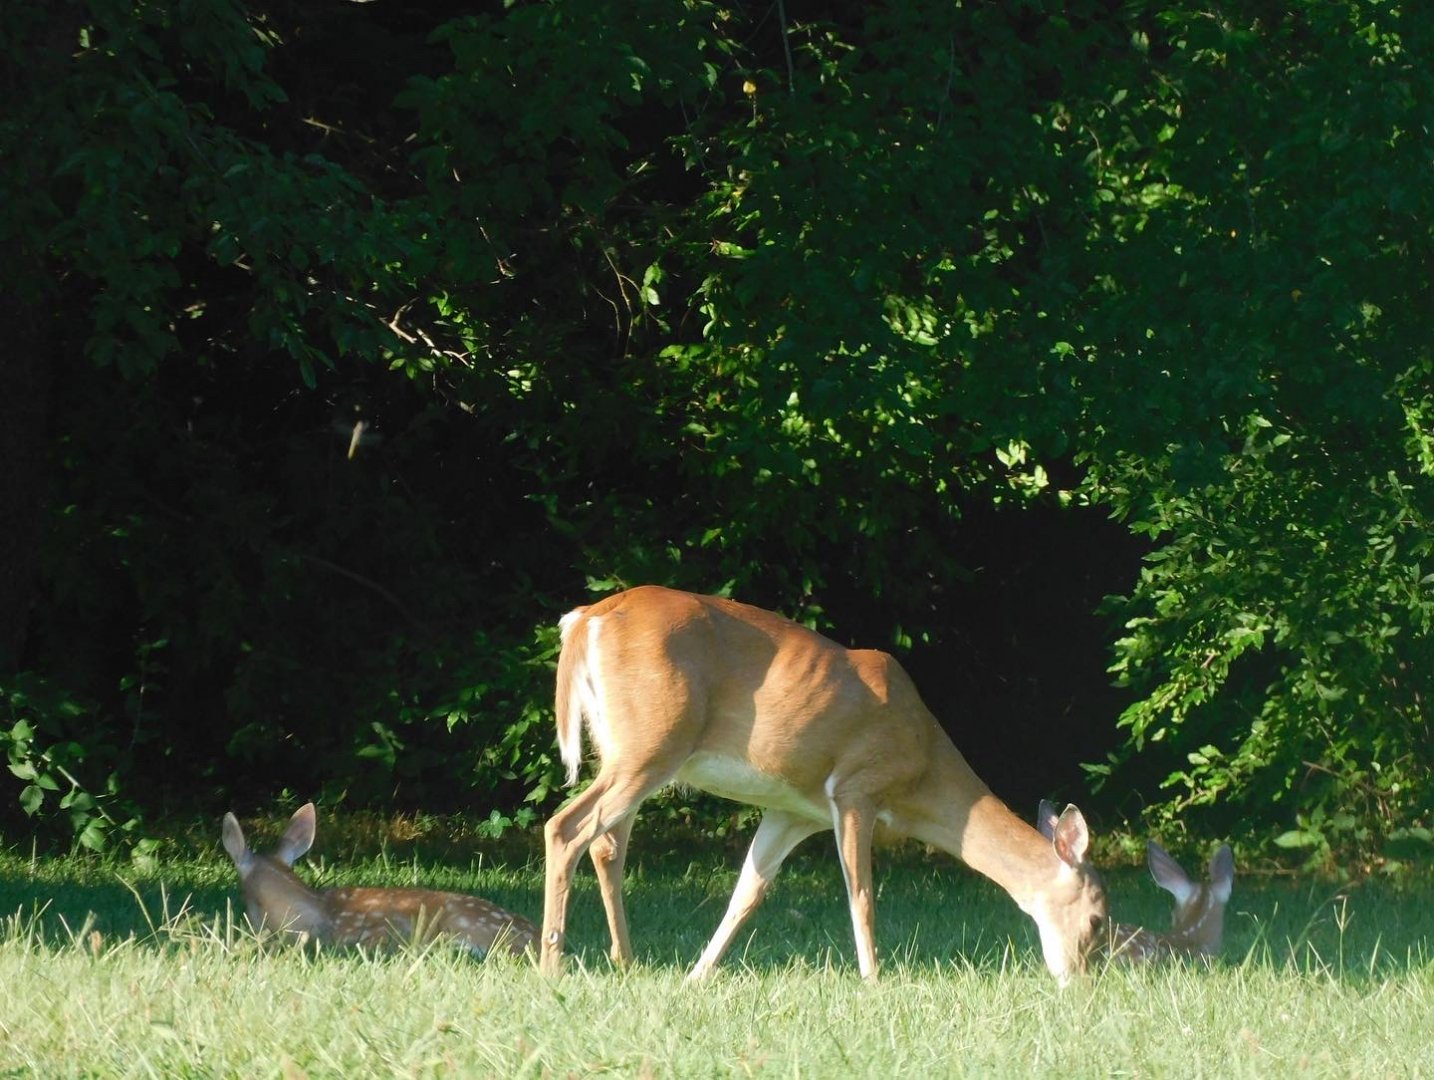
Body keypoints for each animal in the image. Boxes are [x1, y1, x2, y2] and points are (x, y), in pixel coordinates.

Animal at [540, 585, 1108, 983]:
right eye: (1099, 920)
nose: (1083, 982)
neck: (923, 764)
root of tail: (585, 619)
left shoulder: (793, 812)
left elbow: (748, 893)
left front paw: (697, 976)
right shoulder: (857, 786)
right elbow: (861, 893)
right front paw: (874, 980)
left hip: (623, 748)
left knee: (607, 845)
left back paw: (627, 962)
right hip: (652, 742)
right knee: (566, 827)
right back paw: (553, 966)